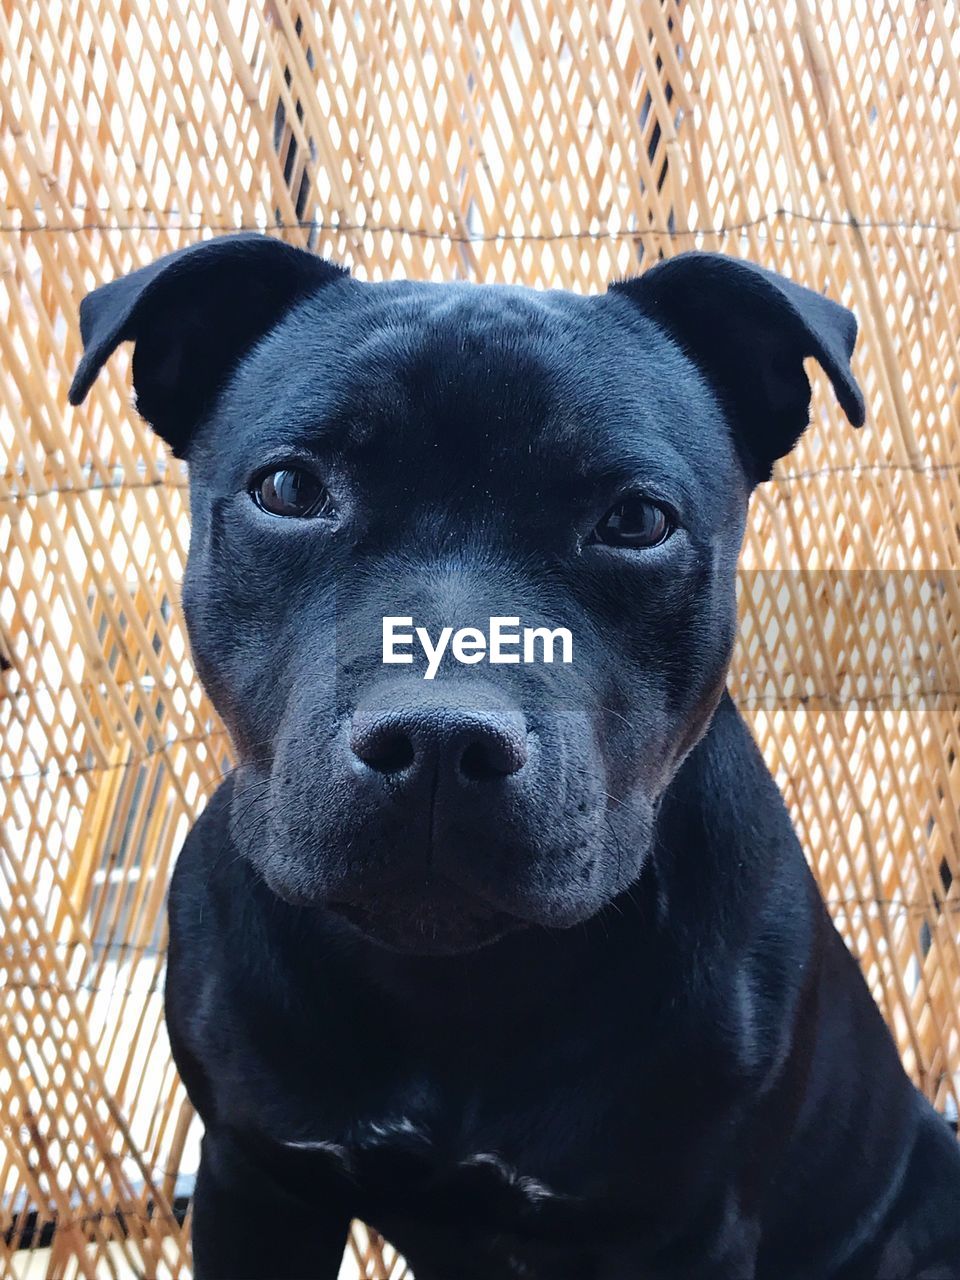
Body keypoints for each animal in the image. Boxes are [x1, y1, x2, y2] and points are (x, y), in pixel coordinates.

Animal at [69, 235, 960, 1274]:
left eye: (636, 521)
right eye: (289, 491)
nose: (439, 739)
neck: (454, 988)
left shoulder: (687, 1231)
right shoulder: (257, 1182)